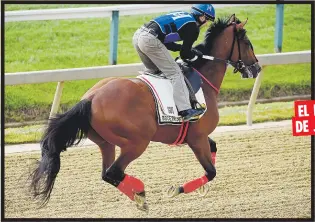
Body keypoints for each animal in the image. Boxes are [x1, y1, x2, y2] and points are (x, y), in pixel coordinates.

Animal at [29, 14, 262, 212]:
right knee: (114, 171)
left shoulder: (197, 136)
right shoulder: (197, 138)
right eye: (247, 43)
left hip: (106, 142)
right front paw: (176, 189)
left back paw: (139, 196)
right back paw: (140, 193)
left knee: (108, 173)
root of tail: (90, 98)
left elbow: (213, 152)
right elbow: (211, 172)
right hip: (137, 141)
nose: (257, 68)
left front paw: (202, 188)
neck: (203, 78)